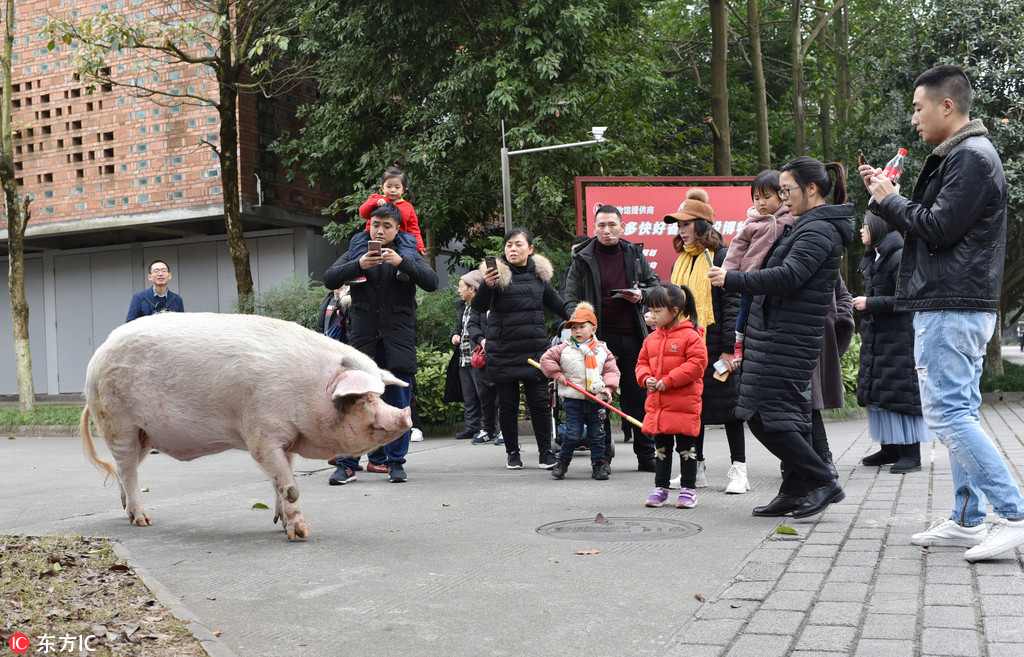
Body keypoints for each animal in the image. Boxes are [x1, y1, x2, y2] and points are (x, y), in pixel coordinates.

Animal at [80, 311, 411, 536]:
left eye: (379, 396)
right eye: (361, 399)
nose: (404, 415)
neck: (307, 388)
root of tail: (97, 354)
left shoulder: (287, 440)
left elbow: (281, 480)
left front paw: (279, 524)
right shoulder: (261, 435)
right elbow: (290, 486)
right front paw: (301, 534)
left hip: (143, 434)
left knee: (126, 471)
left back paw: (128, 513)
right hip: (118, 422)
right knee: (127, 470)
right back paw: (143, 521)